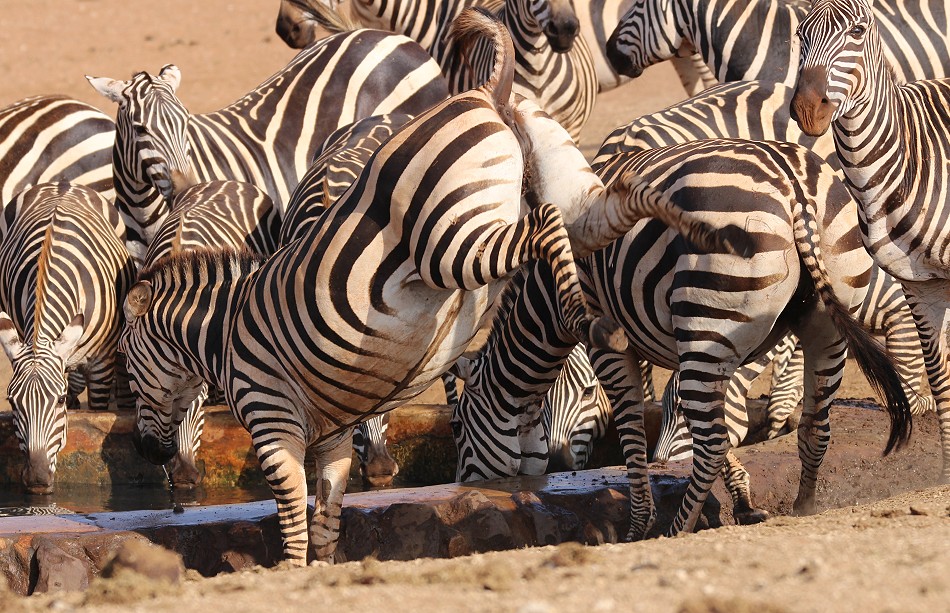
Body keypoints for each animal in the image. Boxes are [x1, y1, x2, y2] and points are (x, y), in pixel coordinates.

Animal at [0, 180, 138, 492]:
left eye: (59, 400)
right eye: (12, 402)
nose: (38, 481)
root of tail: (60, 183)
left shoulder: (101, 363)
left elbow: (98, 411)